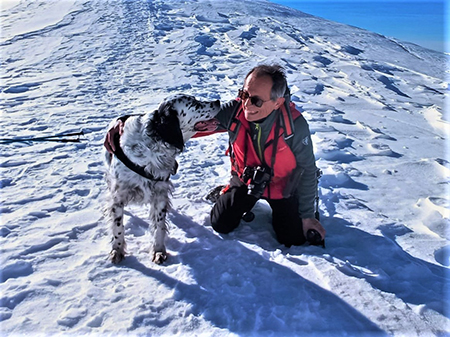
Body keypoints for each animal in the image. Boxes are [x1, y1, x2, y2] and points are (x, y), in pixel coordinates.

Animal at [103, 94, 220, 262]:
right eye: (194, 103)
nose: (218, 101)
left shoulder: (159, 193)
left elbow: (159, 226)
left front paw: (158, 251)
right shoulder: (118, 196)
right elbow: (118, 227)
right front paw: (117, 250)